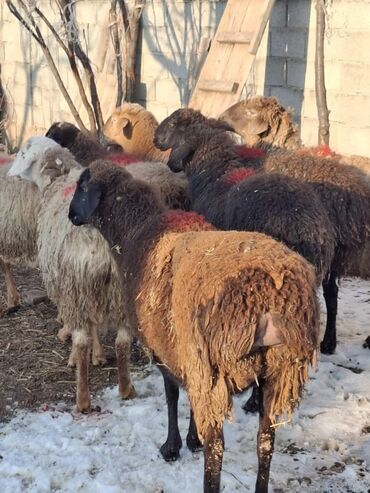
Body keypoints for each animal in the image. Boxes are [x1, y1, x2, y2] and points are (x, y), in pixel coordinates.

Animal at [68, 160, 320, 492]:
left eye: (82, 185)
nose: (70, 215)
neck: (134, 232)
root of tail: (269, 295)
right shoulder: (187, 356)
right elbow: (187, 398)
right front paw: (191, 439)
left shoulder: (165, 349)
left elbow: (172, 396)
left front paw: (173, 446)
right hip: (279, 369)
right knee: (265, 440)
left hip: (218, 365)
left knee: (217, 450)